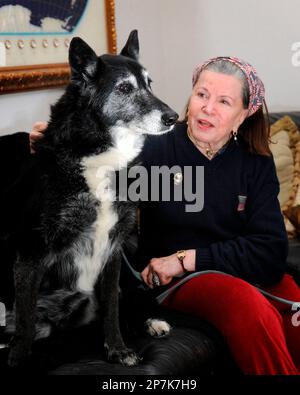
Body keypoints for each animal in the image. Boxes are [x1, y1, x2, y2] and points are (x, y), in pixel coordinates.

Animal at [0, 30, 178, 368]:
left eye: (150, 83)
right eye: (124, 88)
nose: (173, 117)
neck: (100, 158)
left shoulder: (115, 248)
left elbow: (111, 310)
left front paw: (118, 349)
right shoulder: (29, 252)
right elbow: (25, 321)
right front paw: (18, 360)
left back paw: (152, 322)